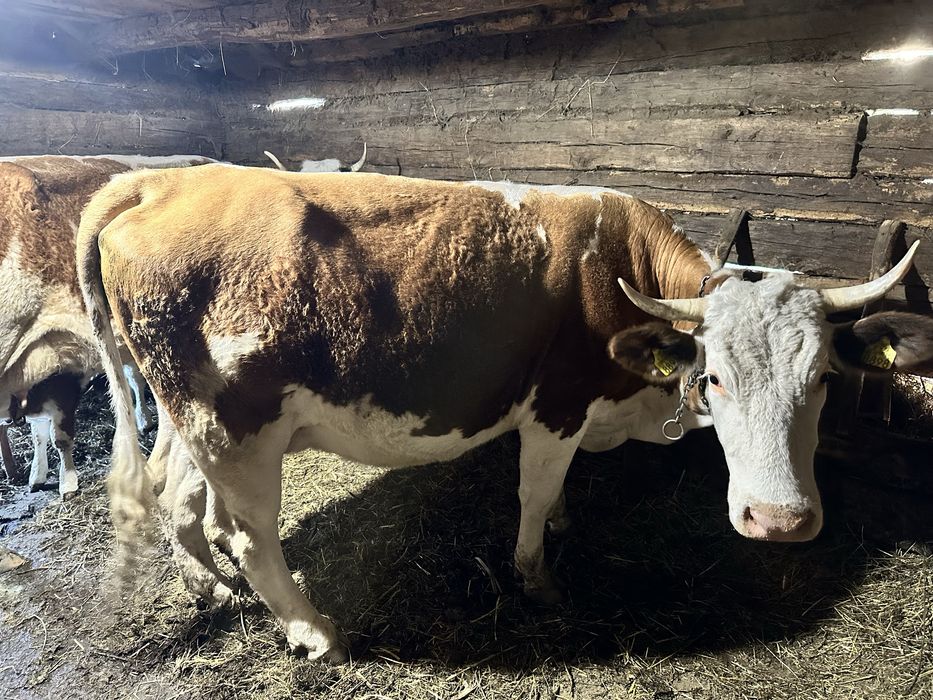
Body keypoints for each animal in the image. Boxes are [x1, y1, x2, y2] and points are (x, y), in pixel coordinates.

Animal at [77, 165, 932, 662]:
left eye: (821, 378)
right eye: (712, 378)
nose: (778, 521)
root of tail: (156, 181)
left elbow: (556, 496)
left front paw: (559, 528)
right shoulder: (553, 407)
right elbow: (532, 493)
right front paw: (535, 574)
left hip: (189, 414)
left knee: (175, 494)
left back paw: (212, 589)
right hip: (234, 426)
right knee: (251, 534)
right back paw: (315, 631)